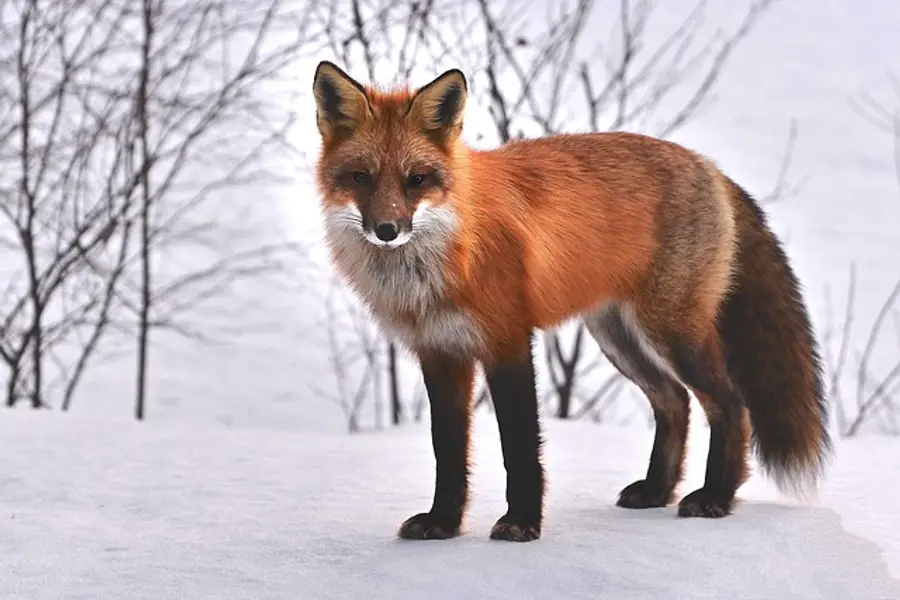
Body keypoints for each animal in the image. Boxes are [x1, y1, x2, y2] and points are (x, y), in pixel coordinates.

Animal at [311, 60, 832, 543]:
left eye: (416, 179)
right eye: (360, 177)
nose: (387, 230)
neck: (444, 257)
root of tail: (709, 166)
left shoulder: (507, 341)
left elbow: (520, 446)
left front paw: (522, 523)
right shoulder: (440, 353)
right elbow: (448, 451)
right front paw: (443, 523)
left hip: (671, 333)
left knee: (730, 405)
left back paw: (716, 497)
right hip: (619, 338)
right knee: (675, 402)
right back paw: (657, 491)